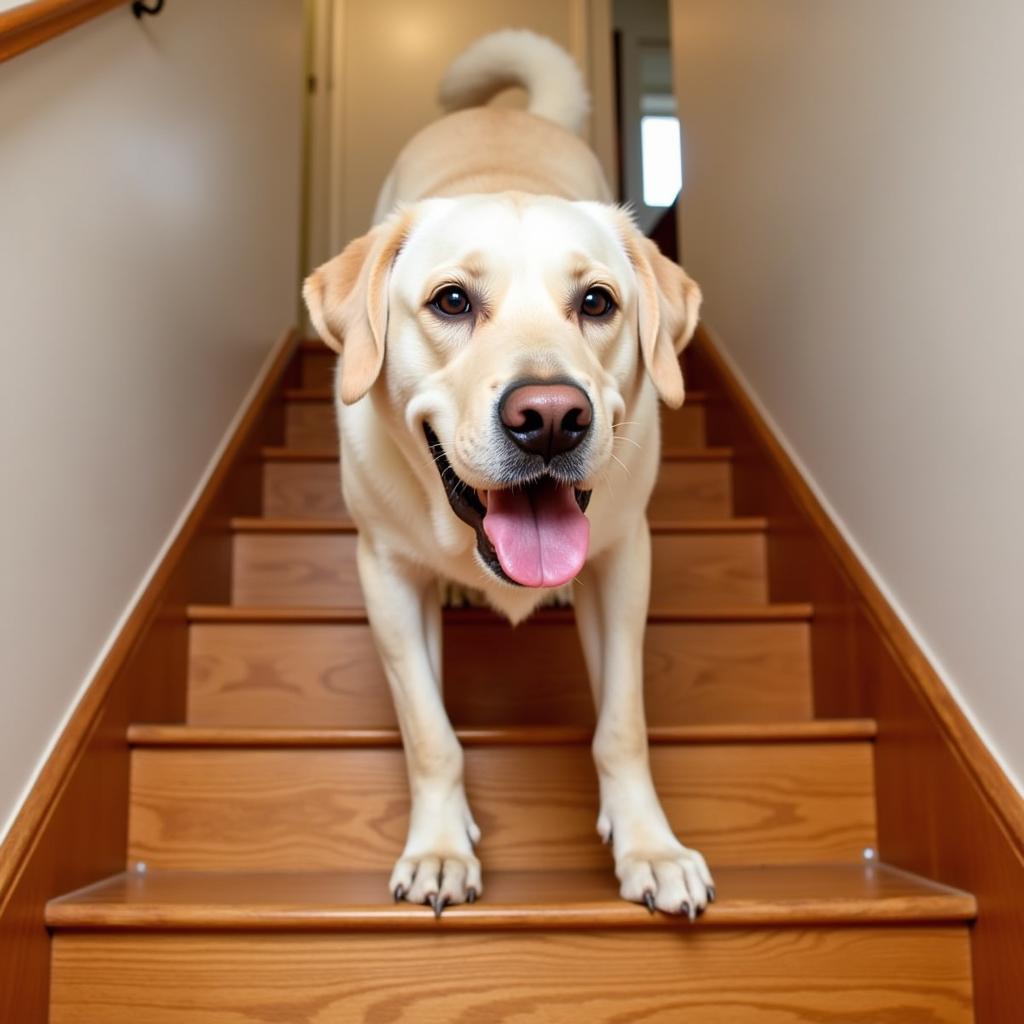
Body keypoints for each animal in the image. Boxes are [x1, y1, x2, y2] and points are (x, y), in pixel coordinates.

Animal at [303, 28, 712, 917]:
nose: (551, 417)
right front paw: (438, 849)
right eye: (452, 301)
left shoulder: (625, 561)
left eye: (597, 303)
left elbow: (622, 724)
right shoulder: (385, 575)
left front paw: (651, 848)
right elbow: (431, 735)